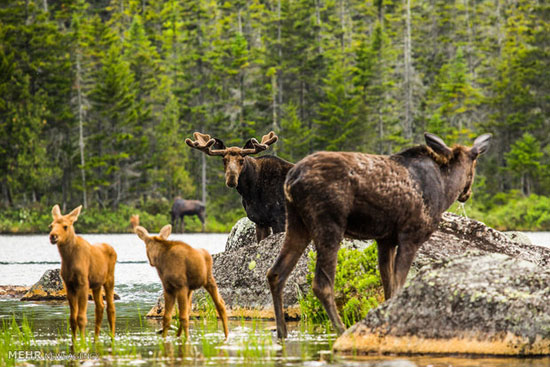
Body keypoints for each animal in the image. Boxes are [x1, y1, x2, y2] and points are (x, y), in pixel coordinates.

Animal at [48, 206, 117, 340]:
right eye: (51, 225)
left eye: (65, 226)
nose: (53, 236)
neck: (68, 258)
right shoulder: (69, 285)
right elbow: (72, 319)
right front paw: (74, 341)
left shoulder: (83, 284)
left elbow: (81, 317)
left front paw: (83, 342)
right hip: (96, 285)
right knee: (100, 307)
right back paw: (96, 338)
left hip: (109, 280)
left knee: (111, 308)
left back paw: (112, 337)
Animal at [268, 132, 496, 340]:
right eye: (475, 163)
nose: (466, 194)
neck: (446, 187)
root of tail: (291, 180)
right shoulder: (411, 236)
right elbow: (399, 284)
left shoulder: (385, 240)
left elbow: (388, 287)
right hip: (329, 225)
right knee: (321, 284)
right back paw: (341, 330)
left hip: (297, 224)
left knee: (275, 274)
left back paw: (282, 333)